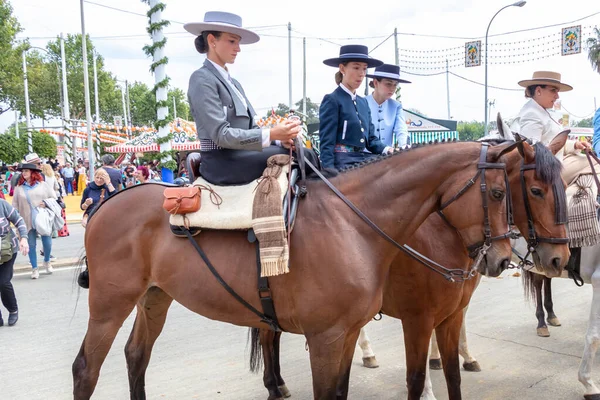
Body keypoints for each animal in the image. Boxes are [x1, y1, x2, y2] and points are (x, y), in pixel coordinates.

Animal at [74, 140, 516, 396]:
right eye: (498, 193)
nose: (502, 258)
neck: (352, 223)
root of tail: (105, 204)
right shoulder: (328, 338)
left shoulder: (349, 334)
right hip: (110, 305)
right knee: (85, 369)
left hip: (154, 298)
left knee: (136, 357)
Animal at [251, 134, 568, 396]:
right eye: (536, 191)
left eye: (564, 187)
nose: (559, 258)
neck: (441, 231)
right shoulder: (418, 317)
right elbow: (417, 374)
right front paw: (431, 382)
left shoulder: (454, 306)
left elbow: (452, 364)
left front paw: (460, 359)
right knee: (267, 335)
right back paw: (276, 385)